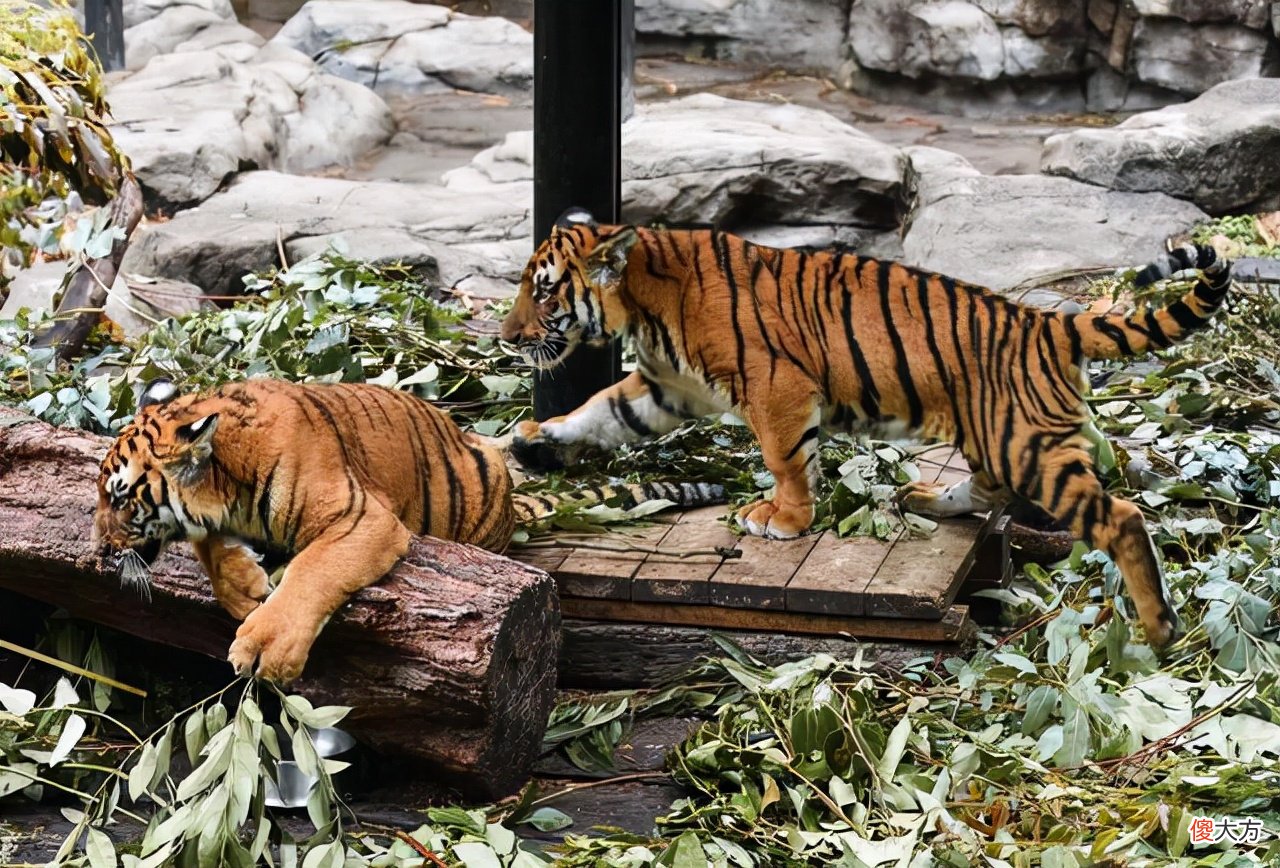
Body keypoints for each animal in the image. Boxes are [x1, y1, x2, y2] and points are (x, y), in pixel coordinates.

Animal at [93, 378, 722, 682]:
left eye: (121, 498)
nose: (99, 551)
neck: (229, 482)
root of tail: (511, 503)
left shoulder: (359, 518)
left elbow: (311, 572)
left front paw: (267, 648)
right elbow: (206, 546)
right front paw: (244, 586)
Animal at [499, 207, 1235, 649]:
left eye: (544, 289)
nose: (507, 337)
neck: (644, 303)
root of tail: (1049, 322)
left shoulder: (777, 386)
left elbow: (787, 458)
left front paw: (783, 519)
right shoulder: (665, 387)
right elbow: (598, 412)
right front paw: (535, 439)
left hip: (1024, 445)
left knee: (1120, 517)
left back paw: (1158, 628)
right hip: (995, 436)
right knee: (991, 491)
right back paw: (929, 500)